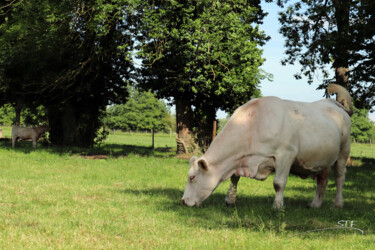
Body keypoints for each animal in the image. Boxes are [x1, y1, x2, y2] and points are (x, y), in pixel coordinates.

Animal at [182, 85, 352, 210]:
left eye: (192, 177)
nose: (183, 201)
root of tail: (333, 103)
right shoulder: (240, 159)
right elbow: (234, 178)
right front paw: (230, 200)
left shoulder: (286, 154)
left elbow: (278, 183)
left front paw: (277, 206)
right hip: (324, 158)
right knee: (322, 179)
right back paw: (315, 204)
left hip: (343, 151)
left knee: (339, 177)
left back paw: (338, 203)